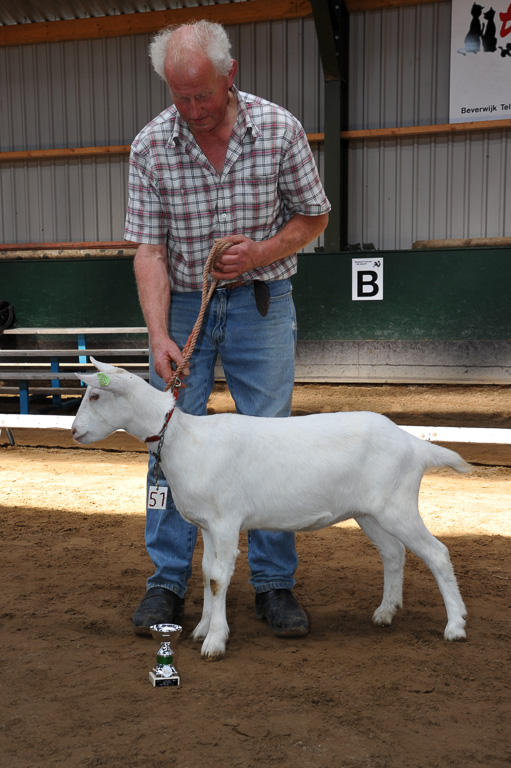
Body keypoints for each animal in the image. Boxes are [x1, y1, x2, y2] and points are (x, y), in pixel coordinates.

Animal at [72, 360, 472, 660]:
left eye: (95, 393)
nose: (75, 431)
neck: (184, 439)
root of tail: (415, 445)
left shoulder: (225, 520)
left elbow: (218, 578)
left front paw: (215, 642)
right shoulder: (206, 524)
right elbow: (205, 573)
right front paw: (202, 629)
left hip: (397, 507)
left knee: (437, 553)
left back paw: (455, 626)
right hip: (371, 512)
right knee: (394, 553)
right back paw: (386, 612)